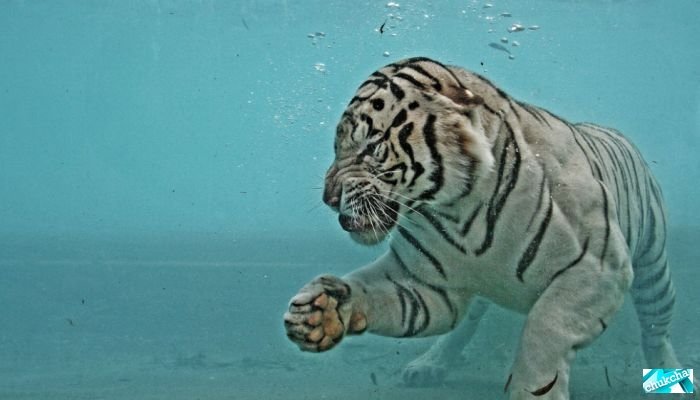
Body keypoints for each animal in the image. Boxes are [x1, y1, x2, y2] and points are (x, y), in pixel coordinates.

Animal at [283, 57, 696, 399]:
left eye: (371, 146)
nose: (329, 198)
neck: (459, 211)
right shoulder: (424, 281)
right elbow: (369, 289)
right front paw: (319, 309)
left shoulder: (599, 269)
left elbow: (544, 327)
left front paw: (533, 391)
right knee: (462, 328)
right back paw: (427, 366)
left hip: (653, 269)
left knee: (656, 327)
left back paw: (672, 377)